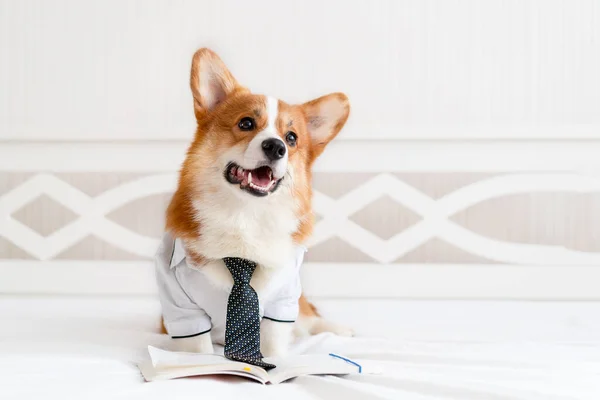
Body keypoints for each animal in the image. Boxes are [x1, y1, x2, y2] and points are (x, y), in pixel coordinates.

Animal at [157, 47, 352, 356]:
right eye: (246, 123)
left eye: (292, 138)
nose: (276, 147)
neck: (245, 214)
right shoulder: (179, 304)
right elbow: (197, 347)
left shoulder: (283, 298)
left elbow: (274, 340)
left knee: (309, 317)